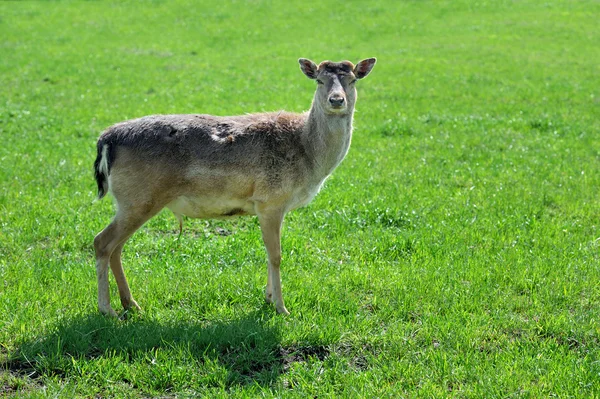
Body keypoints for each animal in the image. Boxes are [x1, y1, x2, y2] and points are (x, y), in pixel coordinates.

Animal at [93, 57, 376, 318]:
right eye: (318, 80)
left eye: (352, 80)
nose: (337, 100)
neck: (308, 156)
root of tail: (106, 139)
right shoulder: (270, 200)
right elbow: (276, 254)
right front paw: (281, 308)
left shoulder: (274, 206)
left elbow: (268, 253)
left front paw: (268, 298)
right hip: (139, 199)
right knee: (102, 242)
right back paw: (108, 310)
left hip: (132, 202)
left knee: (116, 247)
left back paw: (131, 304)